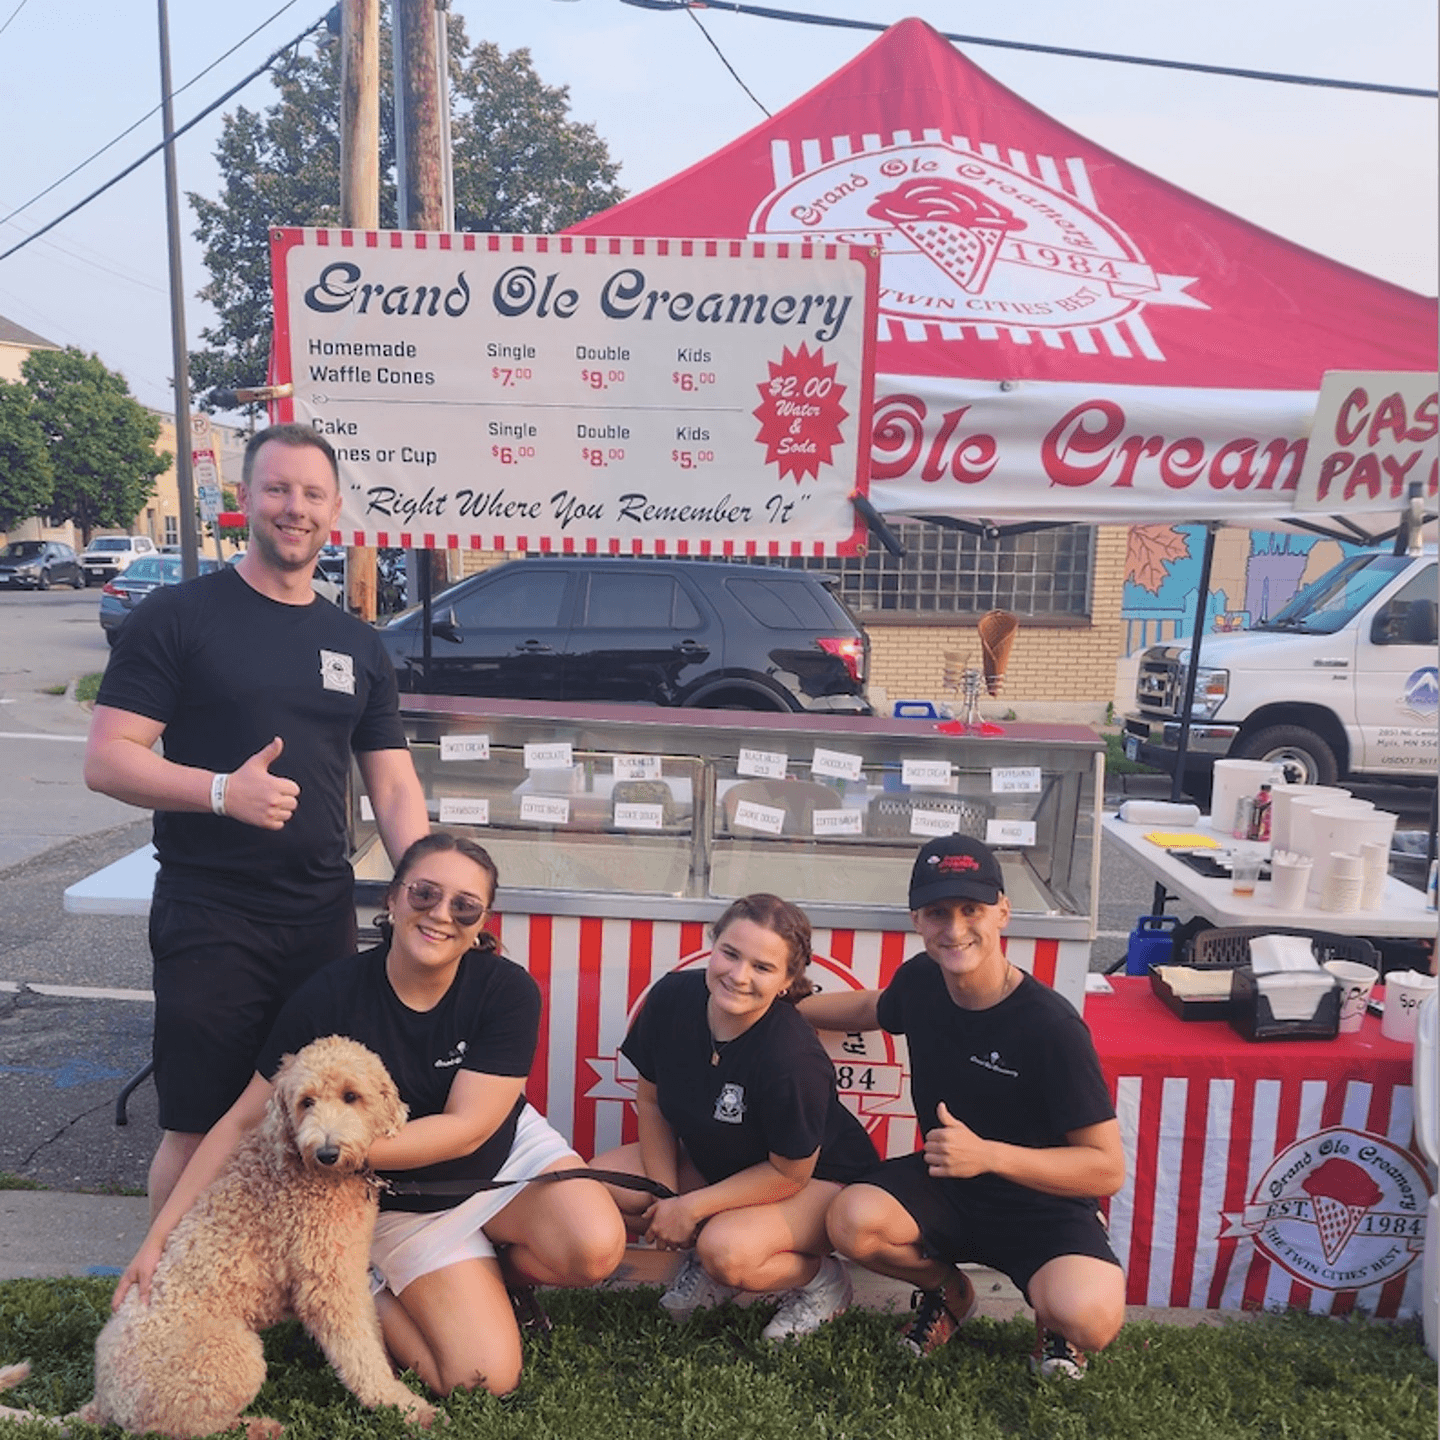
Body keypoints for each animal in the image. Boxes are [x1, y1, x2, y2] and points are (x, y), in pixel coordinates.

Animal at [2, 1042, 434, 1434]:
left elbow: (371, 1335)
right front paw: (406, 1407)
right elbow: (360, 1356)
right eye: (306, 1101)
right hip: (232, 1356)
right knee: (179, 1429)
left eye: (351, 1096)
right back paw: (258, 1426)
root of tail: (104, 1400)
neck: (301, 1168)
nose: (326, 1152)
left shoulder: (348, 1275)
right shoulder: (326, 1287)